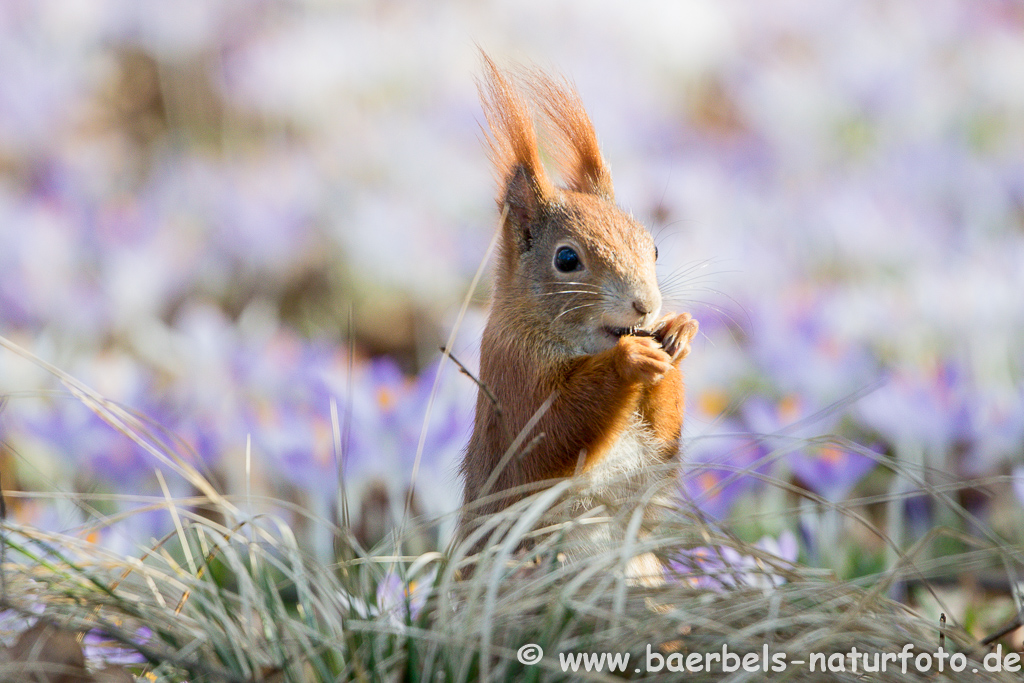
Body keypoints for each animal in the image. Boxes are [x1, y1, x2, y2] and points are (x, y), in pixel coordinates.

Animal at [460, 53, 700, 565]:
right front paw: (629, 360)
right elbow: (548, 442)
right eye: (567, 260)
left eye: (653, 248)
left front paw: (679, 331)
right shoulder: (511, 376)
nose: (647, 306)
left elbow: (662, 441)